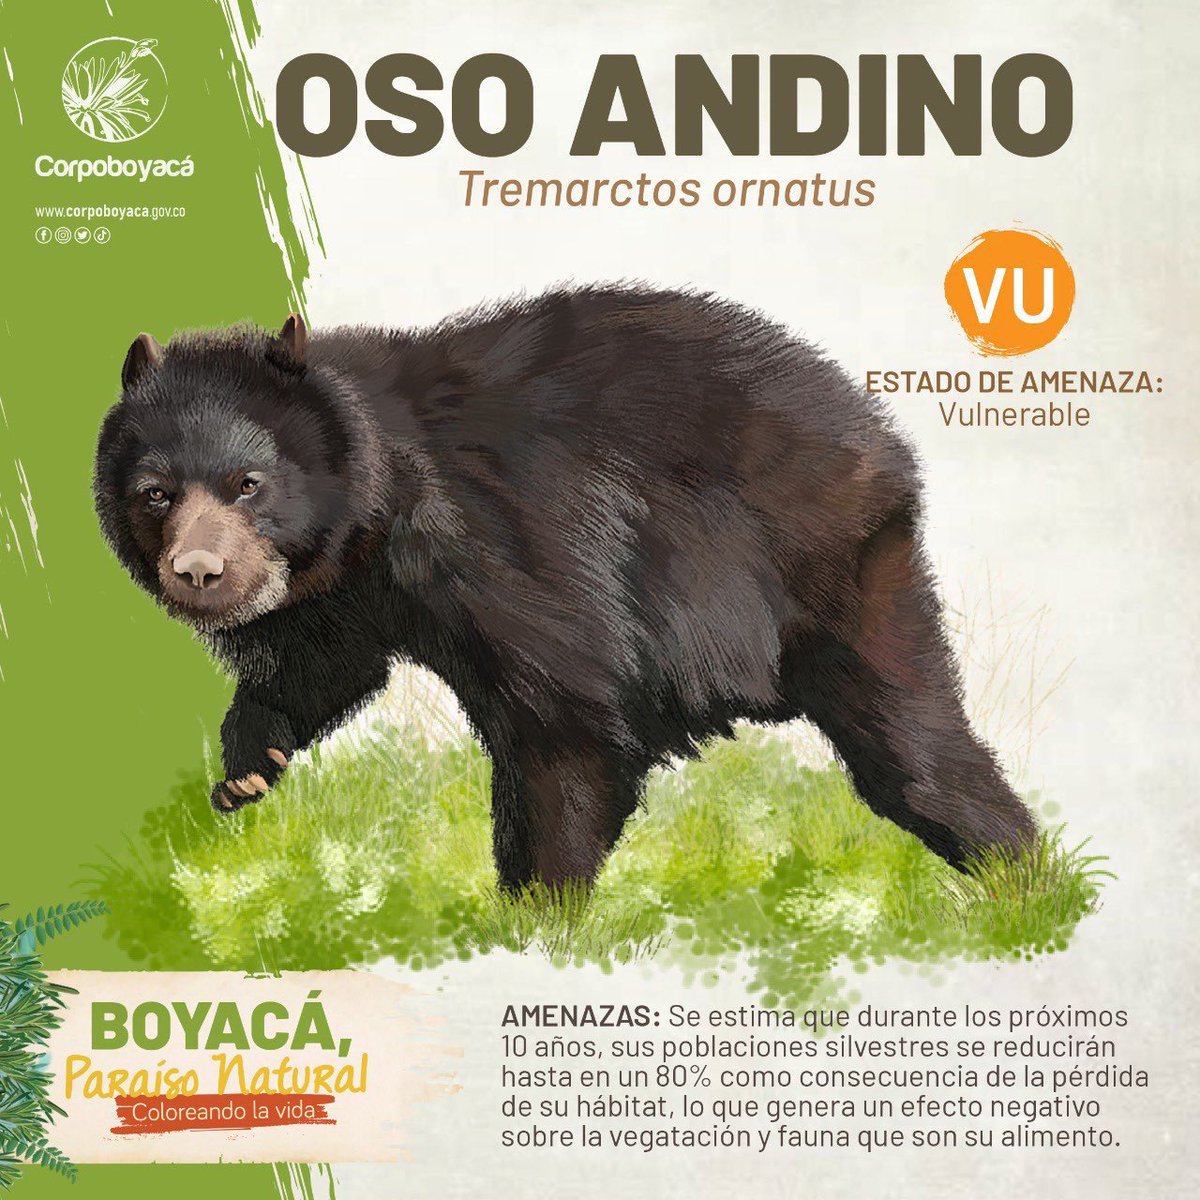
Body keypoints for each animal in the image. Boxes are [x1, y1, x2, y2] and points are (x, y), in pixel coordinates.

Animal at [93, 286, 1036, 890]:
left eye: (249, 484)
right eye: (155, 493)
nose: (200, 572)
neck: (379, 516)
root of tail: (879, 434)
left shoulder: (508, 545)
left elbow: (568, 720)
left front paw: (536, 914)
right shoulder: (344, 593)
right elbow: (325, 667)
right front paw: (249, 766)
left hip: (830, 569)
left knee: (912, 744)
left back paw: (1019, 882)